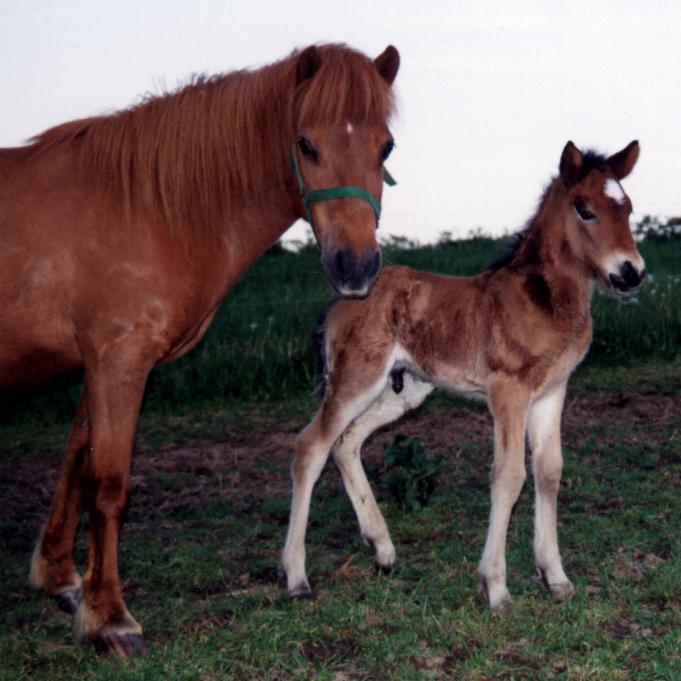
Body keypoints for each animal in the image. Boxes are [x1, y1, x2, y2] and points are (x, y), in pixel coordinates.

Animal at [280, 138, 644, 612]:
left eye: (629, 208)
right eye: (584, 209)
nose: (632, 272)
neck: (544, 299)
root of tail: (342, 298)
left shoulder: (552, 391)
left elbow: (548, 472)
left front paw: (556, 577)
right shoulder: (509, 390)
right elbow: (509, 476)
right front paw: (496, 588)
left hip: (403, 391)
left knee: (346, 443)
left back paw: (382, 549)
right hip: (356, 379)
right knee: (311, 448)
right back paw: (296, 577)